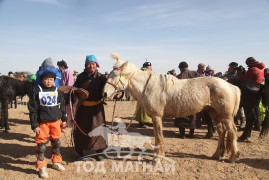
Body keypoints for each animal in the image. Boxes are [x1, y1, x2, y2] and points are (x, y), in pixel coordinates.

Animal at [103, 52, 240, 162]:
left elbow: (158, 136)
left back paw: (233, 157)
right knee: (222, 131)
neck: (149, 87)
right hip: (214, 113)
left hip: (226, 116)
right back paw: (217, 154)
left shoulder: (157, 117)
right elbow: (157, 136)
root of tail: (231, 86)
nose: (104, 94)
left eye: (115, 75)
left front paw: (158, 158)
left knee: (232, 131)